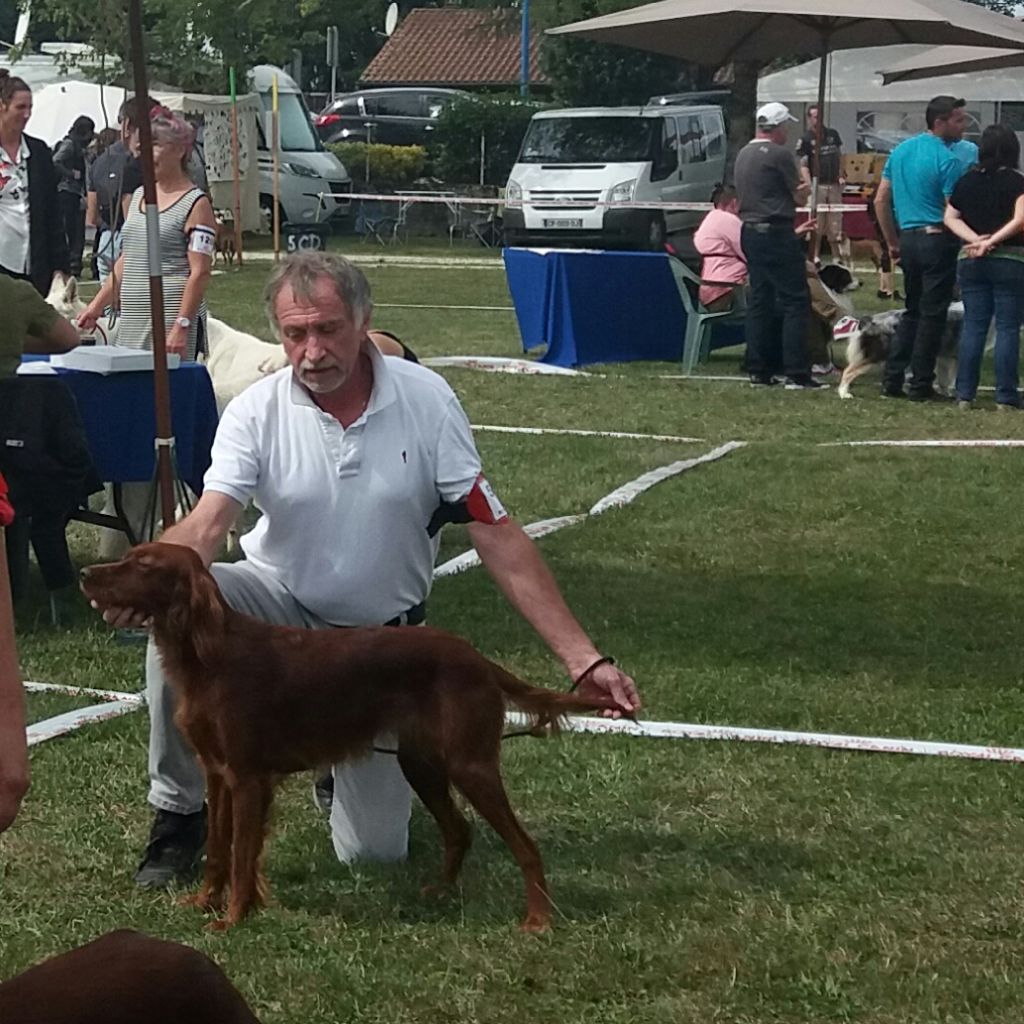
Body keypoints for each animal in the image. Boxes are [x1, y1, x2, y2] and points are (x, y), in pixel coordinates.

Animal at [79, 544, 622, 937]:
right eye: (131, 555)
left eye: (143, 564)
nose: (85, 574)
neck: (207, 656)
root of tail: (477, 659)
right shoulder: (219, 774)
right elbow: (218, 848)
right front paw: (206, 901)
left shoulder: (249, 779)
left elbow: (240, 855)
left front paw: (233, 918)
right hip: (422, 763)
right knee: (460, 830)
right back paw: (439, 892)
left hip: (470, 764)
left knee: (524, 846)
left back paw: (537, 920)